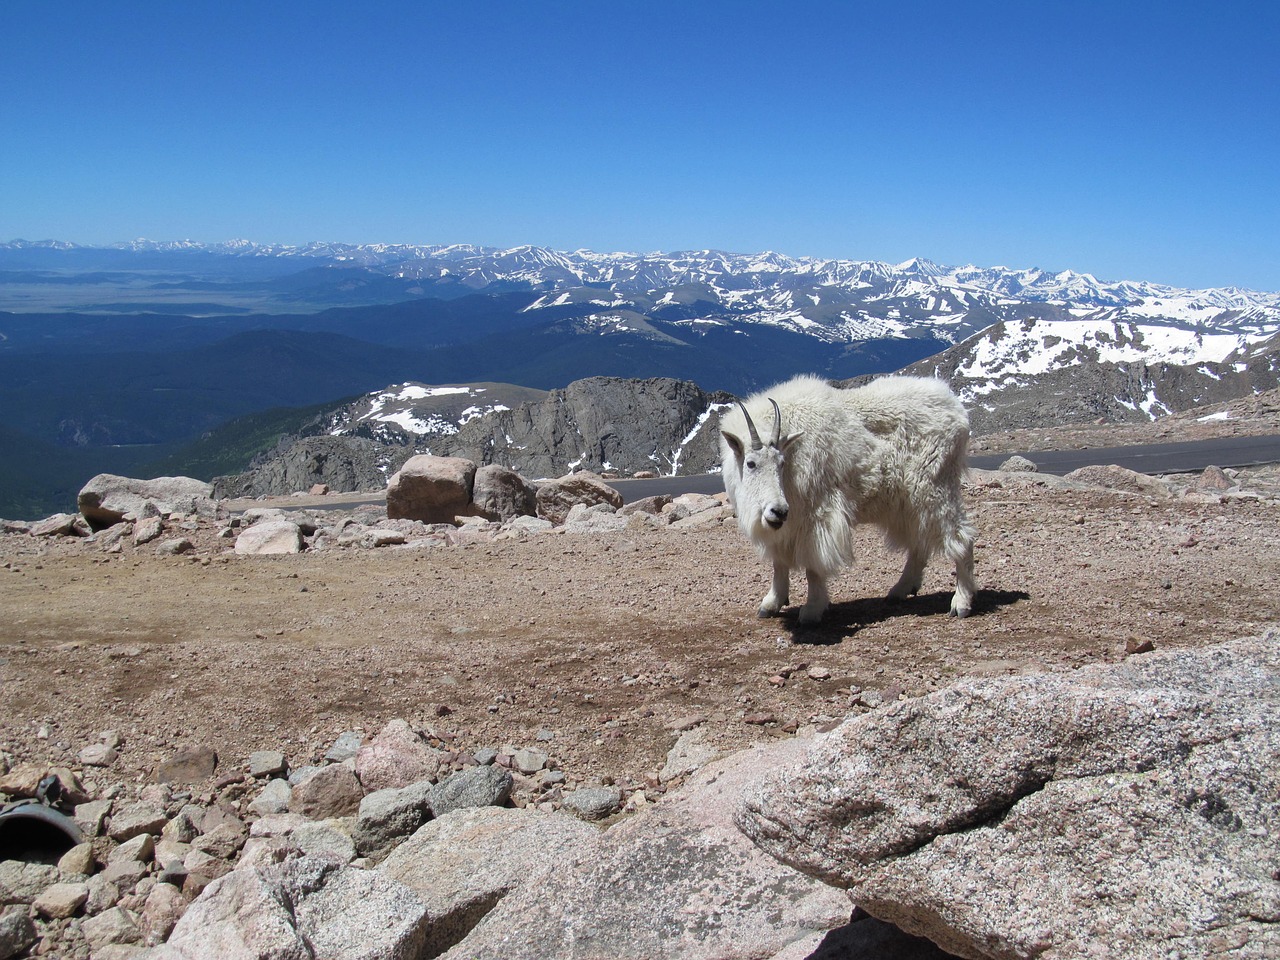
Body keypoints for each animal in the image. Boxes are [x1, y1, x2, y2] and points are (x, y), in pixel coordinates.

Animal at [721, 371, 977, 627]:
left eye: (781, 463)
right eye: (751, 463)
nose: (779, 510)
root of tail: (958, 410)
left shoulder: (817, 514)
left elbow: (813, 566)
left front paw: (812, 610)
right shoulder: (786, 524)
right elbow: (779, 562)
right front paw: (771, 604)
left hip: (934, 487)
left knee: (961, 539)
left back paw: (961, 603)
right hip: (908, 503)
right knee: (919, 542)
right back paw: (900, 590)